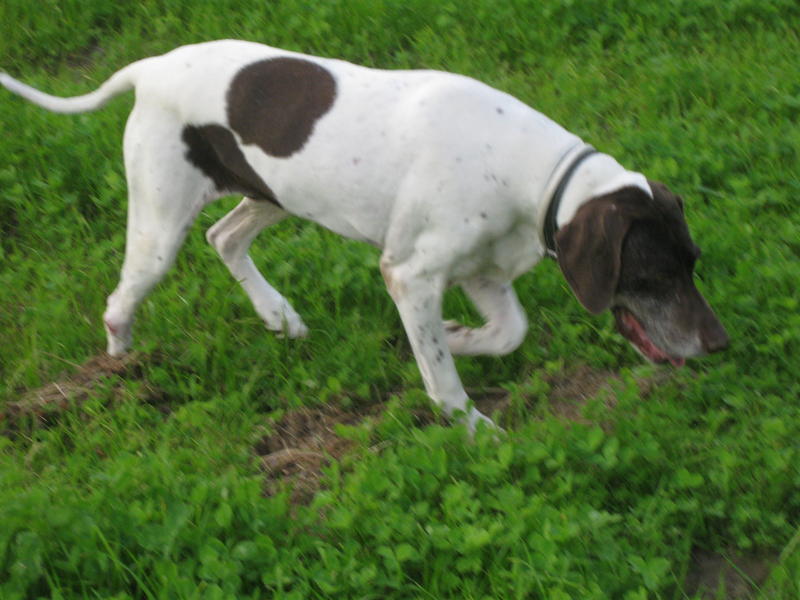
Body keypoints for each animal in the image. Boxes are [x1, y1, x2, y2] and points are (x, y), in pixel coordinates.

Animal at [0, 39, 728, 428]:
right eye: (655, 275)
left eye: (694, 262)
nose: (719, 343)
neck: (532, 171)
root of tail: (151, 66)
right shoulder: (410, 274)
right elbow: (446, 381)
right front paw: (473, 427)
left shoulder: (480, 272)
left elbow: (506, 332)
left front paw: (456, 338)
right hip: (159, 230)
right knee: (120, 303)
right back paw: (117, 378)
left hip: (273, 194)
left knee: (225, 238)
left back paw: (278, 316)